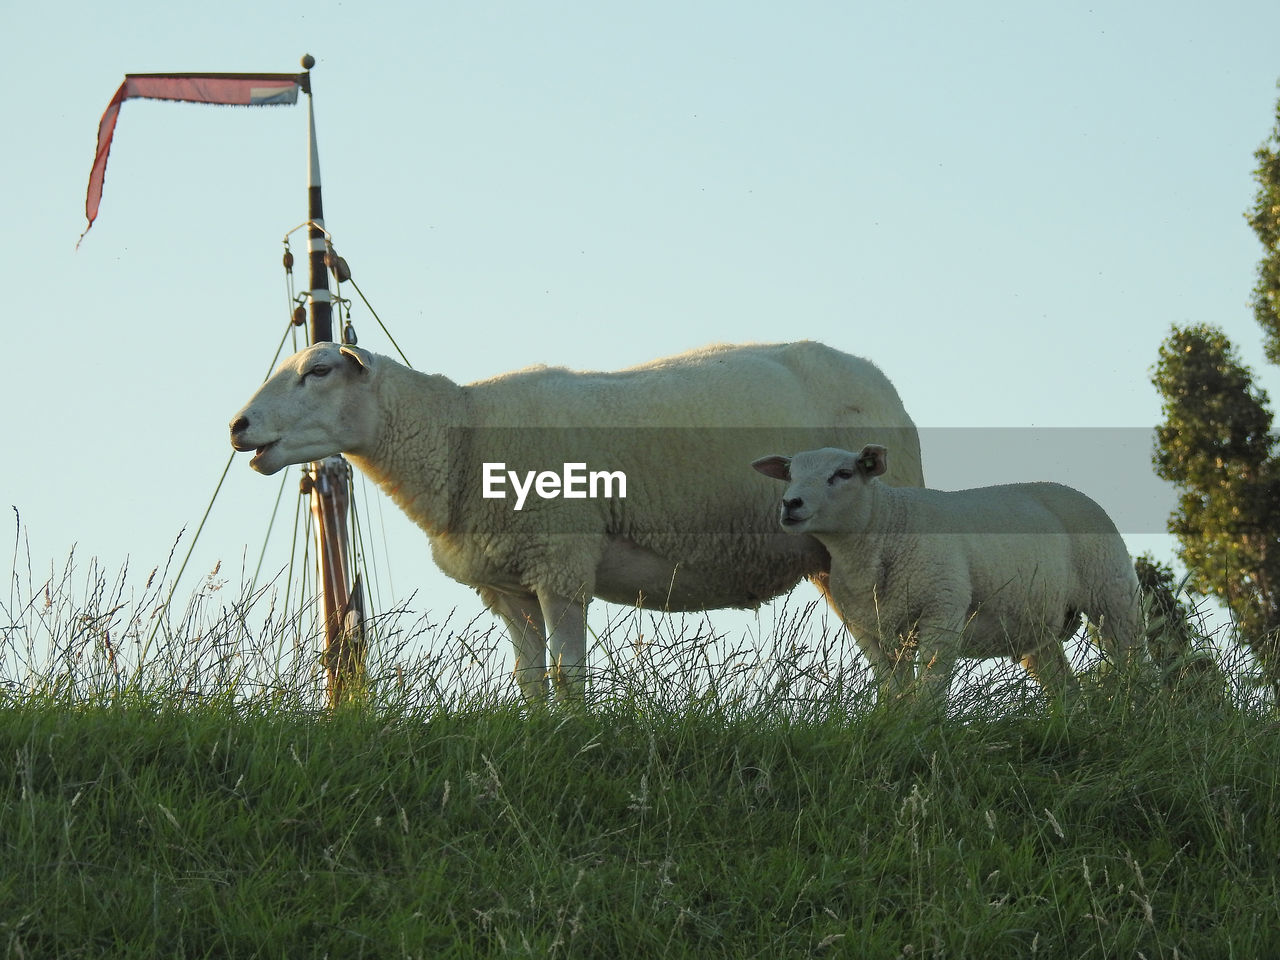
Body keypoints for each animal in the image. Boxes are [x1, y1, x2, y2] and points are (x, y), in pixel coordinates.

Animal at [230, 343, 926, 701]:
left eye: (319, 370)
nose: (237, 426)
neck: (458, 439)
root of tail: (882, 381)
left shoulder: (560, 561)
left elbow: (568, 674)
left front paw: (572, 736)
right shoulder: (507, 583)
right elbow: (530, 678)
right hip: (831, 560)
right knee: (885, 655)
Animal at [747, 445, 1141, 706]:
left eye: (843, 474)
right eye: (791, 475)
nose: (790, 504)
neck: (886, 526)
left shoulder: (942, 611)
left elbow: (931, 686)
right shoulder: (871, 631)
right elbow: (893, 689)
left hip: (1113, 593)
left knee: (1134, 659)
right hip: (1037, 622)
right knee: (1064, 686)